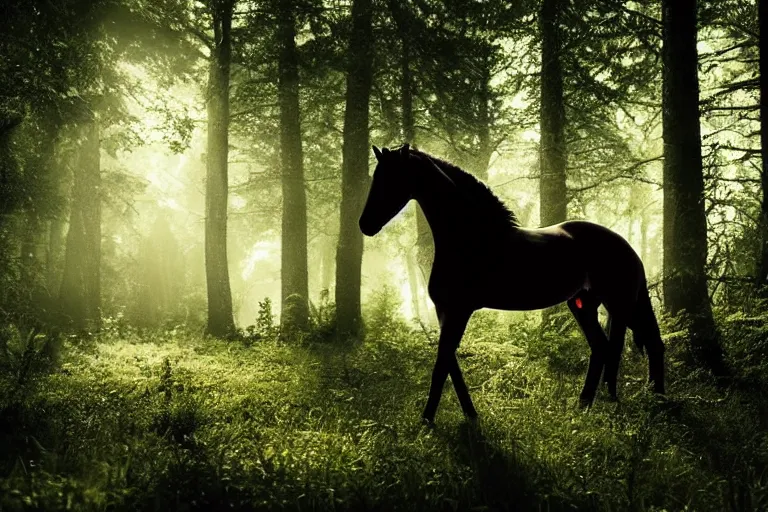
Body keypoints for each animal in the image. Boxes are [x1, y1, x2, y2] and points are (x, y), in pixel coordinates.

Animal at [356, 144, 664, 424]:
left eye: (392, 179)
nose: (365, 225)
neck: (471, 237)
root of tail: (625, 245)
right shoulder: (445, 311)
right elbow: (450, 363)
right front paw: (470, 414)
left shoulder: (458, 311)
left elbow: (442, 365)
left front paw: (428, 420)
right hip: (583, 305)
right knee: (603, 347)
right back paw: (585, 405)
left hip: (621, 303)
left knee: (649, 342)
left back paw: (655, 400)